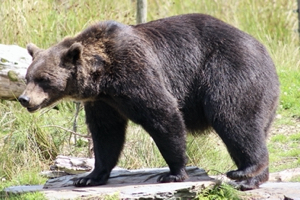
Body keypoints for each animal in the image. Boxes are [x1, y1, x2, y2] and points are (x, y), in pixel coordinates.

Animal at [18, 13, 280, 190]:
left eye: (44, 79)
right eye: (27, 76)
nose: (24, 99)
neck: (103, 77)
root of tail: (265, 51)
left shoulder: (136, 72)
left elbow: (163, 113)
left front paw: (173, 172)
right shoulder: (103, 102)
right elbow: (106, 133)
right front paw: (88, 176)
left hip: (229, 72)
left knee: (233, 118)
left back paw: (245, 172)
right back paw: (253, 178)